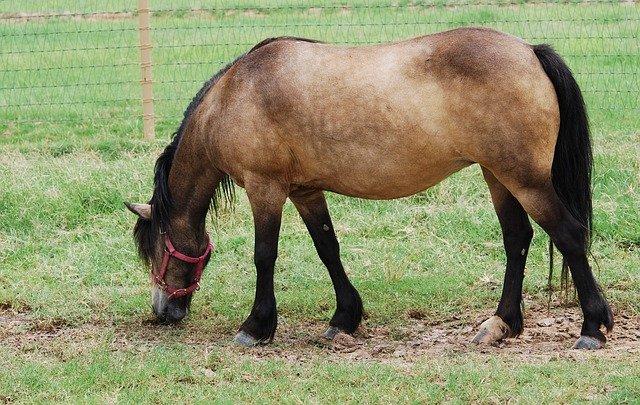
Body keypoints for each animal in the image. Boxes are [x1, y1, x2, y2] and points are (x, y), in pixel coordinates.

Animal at [126, 27, 616, 350]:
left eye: (157, 250)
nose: (163, 313)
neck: (235, 96)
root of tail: (530, 51)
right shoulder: (305, 192)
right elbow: (328, 249)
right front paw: (344, 318)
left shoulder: (265, 189)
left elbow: (264, 255)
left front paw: (256, 326)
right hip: (499, 177)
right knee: (517, 239)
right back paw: (501, 324)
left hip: (524, 179)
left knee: (569, 236)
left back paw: (592, 328)